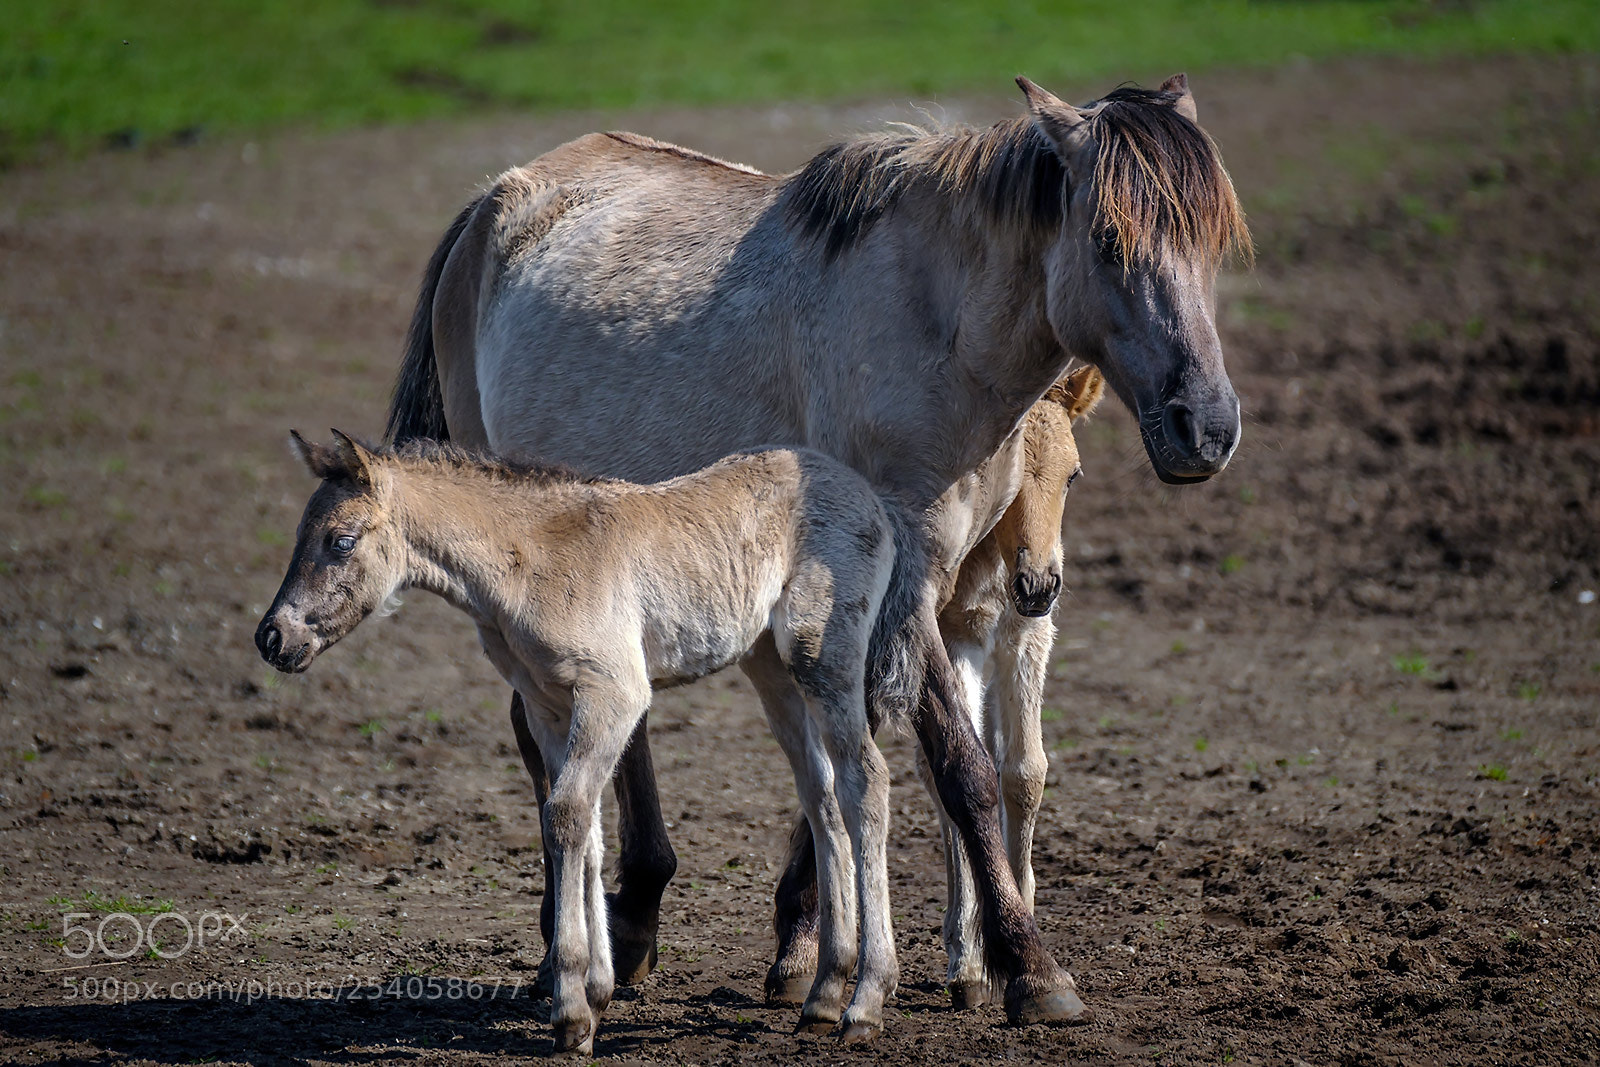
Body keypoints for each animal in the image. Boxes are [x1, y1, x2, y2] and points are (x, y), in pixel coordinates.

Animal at [255, 431, 902, 1050]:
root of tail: (870, 496)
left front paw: (569, 1013)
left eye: (340, 541)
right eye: (300, 533)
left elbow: (566, 814)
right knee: (822, 796)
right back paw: (824, 993)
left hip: (825, 660)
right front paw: (597, 991)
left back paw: (865, 1003)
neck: (528, 562)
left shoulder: (614, 694)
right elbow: (582, 828)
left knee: (865, 781)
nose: (271, 638)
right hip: (771, 668)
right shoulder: (547, 705)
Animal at [386, 73, 1249, 1022]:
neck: (937, 328)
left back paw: (635, 915)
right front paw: (1029, 965)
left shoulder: (922, 589)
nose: (1207, 427)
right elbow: (961, 767)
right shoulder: (903, 576)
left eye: (1212, 243)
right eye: (1107, 239)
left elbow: (849, 764)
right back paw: (577, 943)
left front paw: (816, 949)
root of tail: (493, 205)